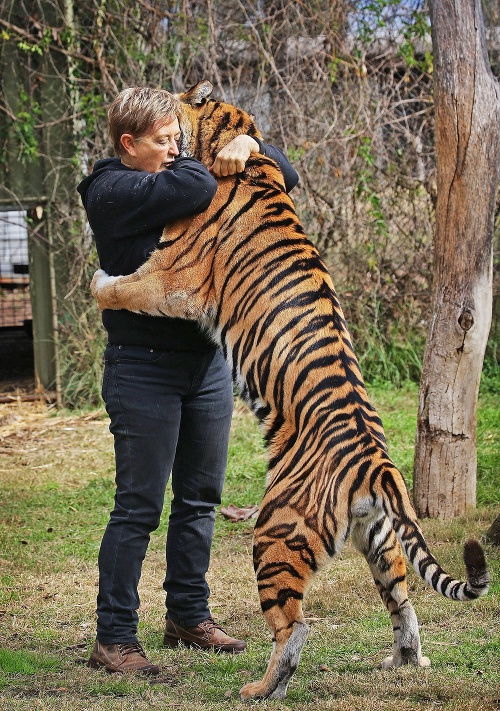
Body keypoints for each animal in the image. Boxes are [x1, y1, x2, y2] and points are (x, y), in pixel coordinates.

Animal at [90, 82, 488, 700]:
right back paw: (404, 661)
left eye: (173, 130)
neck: (233, 146)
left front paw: (98, 280)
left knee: (295, 627)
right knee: (403, 603)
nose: (173, 152)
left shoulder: (174, 278)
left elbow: (122, 287)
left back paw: (260, 689)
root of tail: (375, 463)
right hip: (380, 541)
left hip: (276, 531)